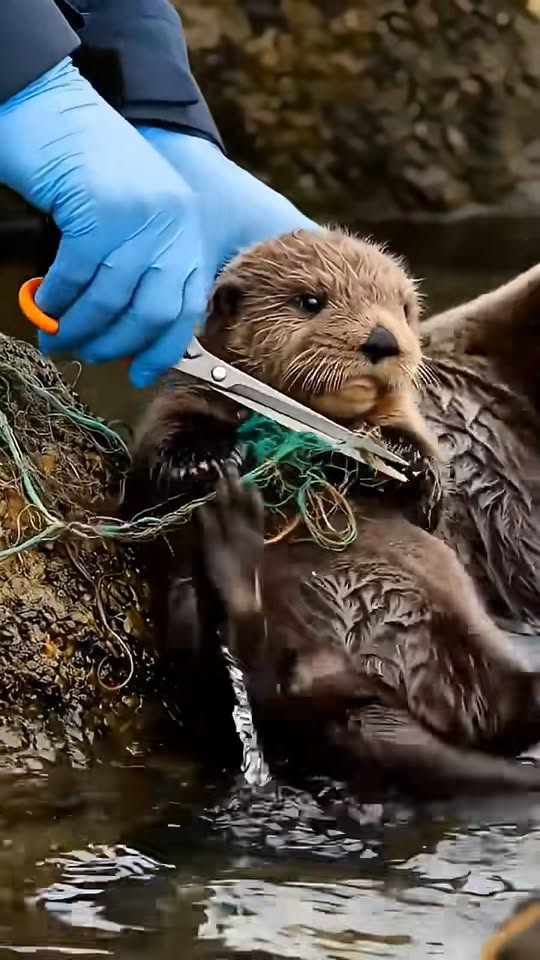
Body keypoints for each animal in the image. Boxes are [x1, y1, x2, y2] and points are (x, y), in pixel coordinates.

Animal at [124, 228, 540, 800]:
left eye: (401, 307)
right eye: (311, 301)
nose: (383, 340)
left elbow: (429, 497)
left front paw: (397, 459)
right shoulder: (179, 402)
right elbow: (157, 461)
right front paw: (212, 458)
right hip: (191, 613)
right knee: (243, 679)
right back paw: (233, 538)